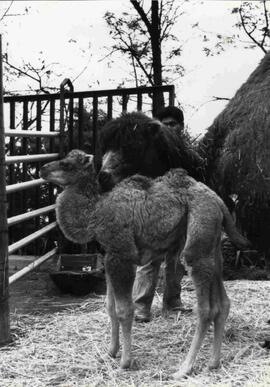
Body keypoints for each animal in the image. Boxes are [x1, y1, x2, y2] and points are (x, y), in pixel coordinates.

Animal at [41, 150, 250, 380]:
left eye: (67, 164)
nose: (42, 169)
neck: (95, 213)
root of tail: (218, 201)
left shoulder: (121, 255)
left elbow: (124, 310)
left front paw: (125, 362)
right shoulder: (110, 256)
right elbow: (110, 306)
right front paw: (110, 352)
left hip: (198, 241)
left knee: (206, 308)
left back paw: (184, 368)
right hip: (213, 248)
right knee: (223, 302)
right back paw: (213, 363)